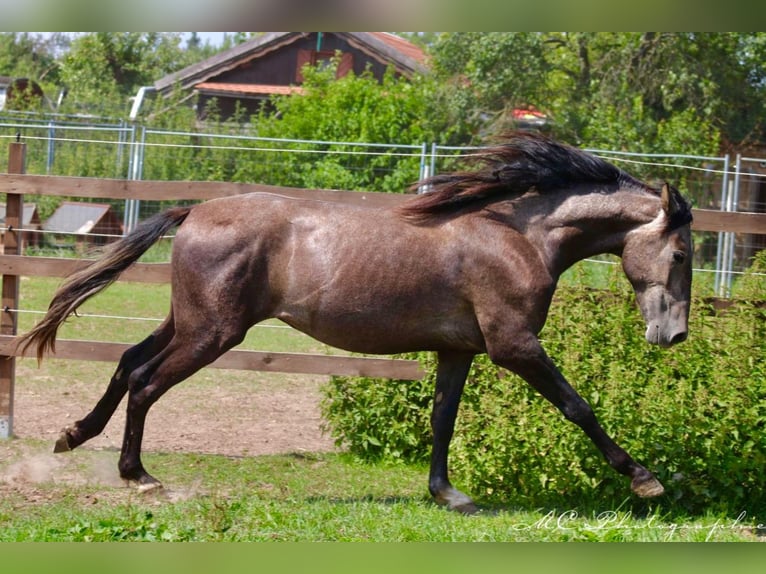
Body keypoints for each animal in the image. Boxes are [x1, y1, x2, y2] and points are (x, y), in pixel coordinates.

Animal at [13, 133, 696, 516]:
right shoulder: (514, 346)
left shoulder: (459, 351)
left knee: (128, 361)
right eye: (684, 253)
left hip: (189, 320)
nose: (674, 336)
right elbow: (578, 407)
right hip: (213, 332)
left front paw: (448, 495)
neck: (517, 237)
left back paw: (72, 436)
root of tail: (195, 212)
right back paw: (140, 479)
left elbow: (442, 420)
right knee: (146, 382)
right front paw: (647, 482)